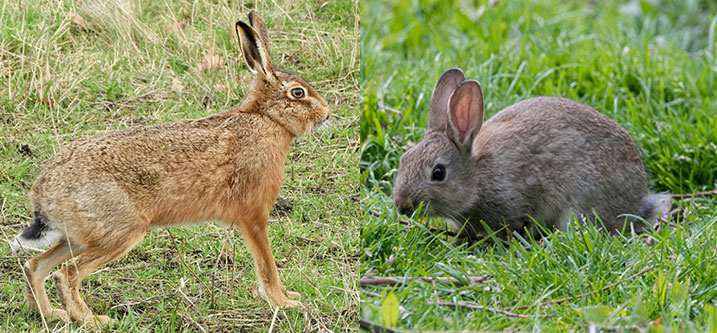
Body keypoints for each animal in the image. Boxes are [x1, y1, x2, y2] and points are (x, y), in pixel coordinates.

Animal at [9, 11, 328, 324]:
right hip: (120, 231)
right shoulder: (253, 216)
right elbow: (266, 266)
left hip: (78, 236)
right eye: (298, 93)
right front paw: (286, 303)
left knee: (35, 265)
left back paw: (51, 314)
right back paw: (93, 320)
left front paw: (289, 298)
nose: (326, 113)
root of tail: (43, 192)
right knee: (66, 275)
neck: (267, 119)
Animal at [392, 67, 672, 240]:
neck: (478, 178)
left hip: (580, 207)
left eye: (438, 173)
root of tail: (635, 203)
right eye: (404, 160)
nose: (401, 205)